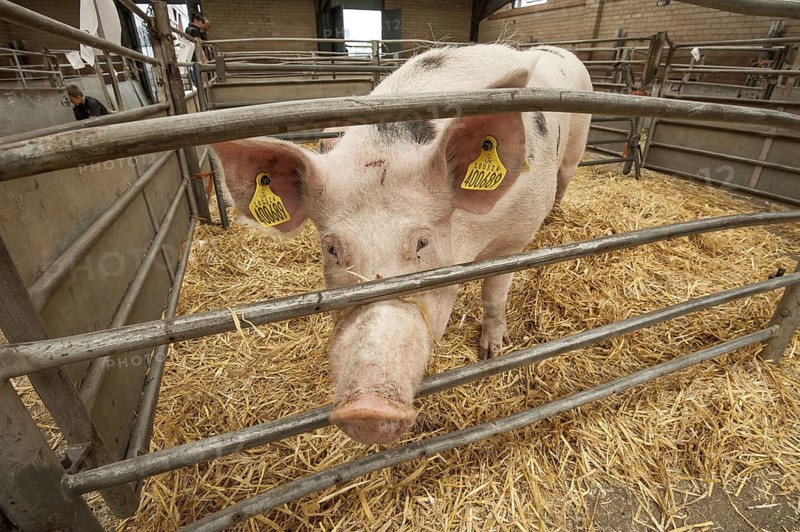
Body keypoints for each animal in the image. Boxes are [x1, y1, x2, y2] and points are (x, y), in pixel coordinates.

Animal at [211, 44, 592, 445]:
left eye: (422, 242)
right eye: (332, 249)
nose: (367, 408)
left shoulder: (514, 237)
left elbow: (494, 295)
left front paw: (491, 352)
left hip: (575, 145)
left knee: (566, 178)